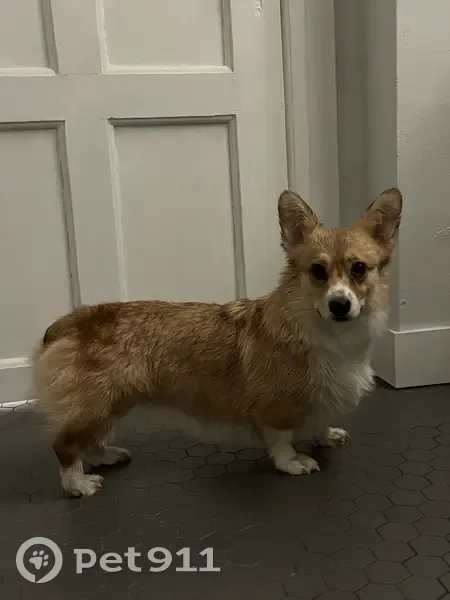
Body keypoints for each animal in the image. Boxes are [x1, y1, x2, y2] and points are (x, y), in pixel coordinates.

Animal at [33, 187, 402, 496]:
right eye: (318, 271)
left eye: (359, 268)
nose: (339, 305)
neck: (327, 333)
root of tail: (67, 322)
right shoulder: (277, 407)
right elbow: (282, 441)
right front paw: (293, 462)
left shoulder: (322, 395)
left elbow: (320, 420)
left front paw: (326, 436)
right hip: (98, 402)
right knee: (65, 446)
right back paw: (78, 484)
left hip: (112, 402)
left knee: (91, 440)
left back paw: (105, 455)